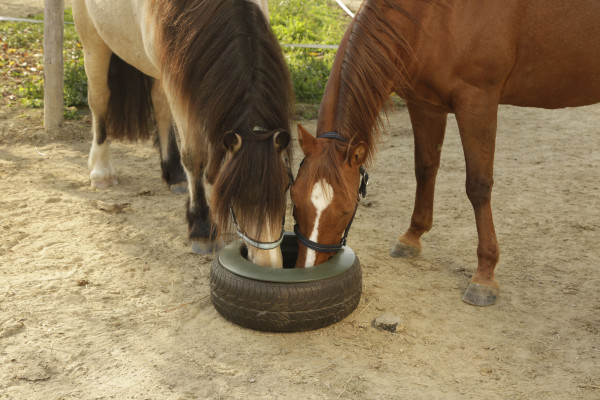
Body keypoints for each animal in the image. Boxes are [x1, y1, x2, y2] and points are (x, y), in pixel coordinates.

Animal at [73, 0, 296, 268]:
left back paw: (174, 174)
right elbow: (195, 156)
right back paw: (102, 171)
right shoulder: (178, 84)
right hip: (93, 42)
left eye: (286, 185)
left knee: (159, 105)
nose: (268, 264)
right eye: (234, 193)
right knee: (99, 100)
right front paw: (202, 227)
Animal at [292, 0, 600, 304]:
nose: (308, 271)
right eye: (293, 198)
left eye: (347, 209)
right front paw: (412, 237)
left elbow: (478, 185)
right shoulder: (424, 104)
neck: (435, 15)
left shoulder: (478, 103)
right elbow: (425, 168)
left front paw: (484, 275)